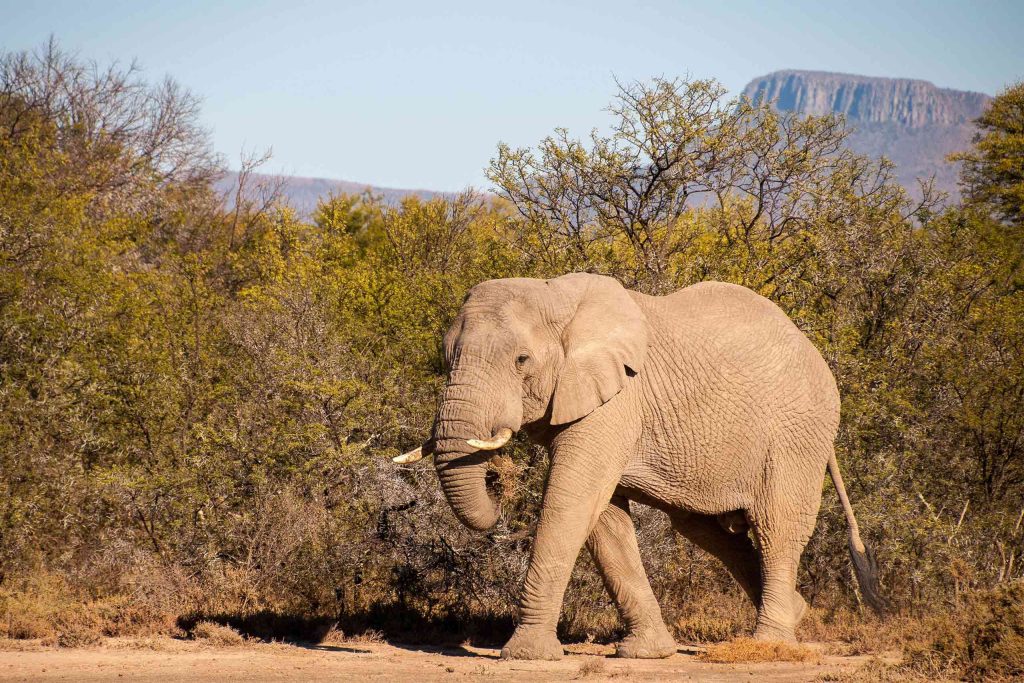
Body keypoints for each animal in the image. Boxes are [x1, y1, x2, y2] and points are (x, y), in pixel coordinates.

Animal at [391, 272, 880, 663]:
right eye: (446, 358)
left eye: (521, 361)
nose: (498, 485)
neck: (556, 297)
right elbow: (604, 518)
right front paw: (646, 653)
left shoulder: (618, 399)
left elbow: (571, 499)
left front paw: (526, 656)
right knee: (703, 528)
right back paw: (795, 612)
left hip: (797, 434)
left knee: (775, 525)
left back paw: (768, 646)